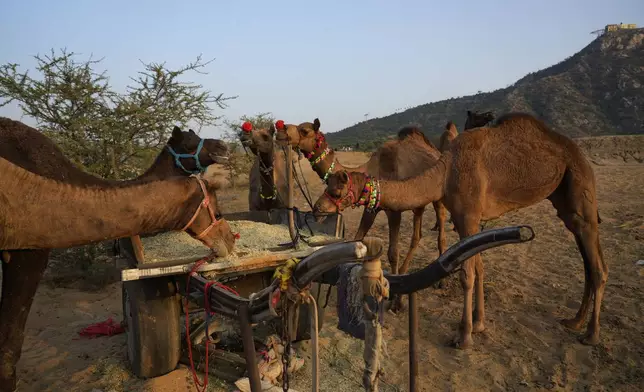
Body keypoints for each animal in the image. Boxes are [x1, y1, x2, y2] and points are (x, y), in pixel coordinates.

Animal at [272, 119, 448, 276]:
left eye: (304, 130)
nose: (279, 129)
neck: (374, 170)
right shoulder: (372, 207)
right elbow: (358, 238)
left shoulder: (394, 210)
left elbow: (393, 253)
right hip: (419, 202)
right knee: (417, 235)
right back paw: (405, 270)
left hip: (439, 196)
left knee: (441, 228)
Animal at [314, 113, 608, 350]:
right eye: (328, 186)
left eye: (336, 191)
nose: (317, 207)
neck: (445, 173)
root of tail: (579, 154)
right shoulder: (463, 217)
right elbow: (477, 267)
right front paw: (478, 324)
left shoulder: (468, 215)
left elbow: (467, 274)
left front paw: (464, 336)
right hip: (563, 198)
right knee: (585, 255)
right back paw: (575, 320)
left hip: (581, 183)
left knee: (597, 263)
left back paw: (591, 334)